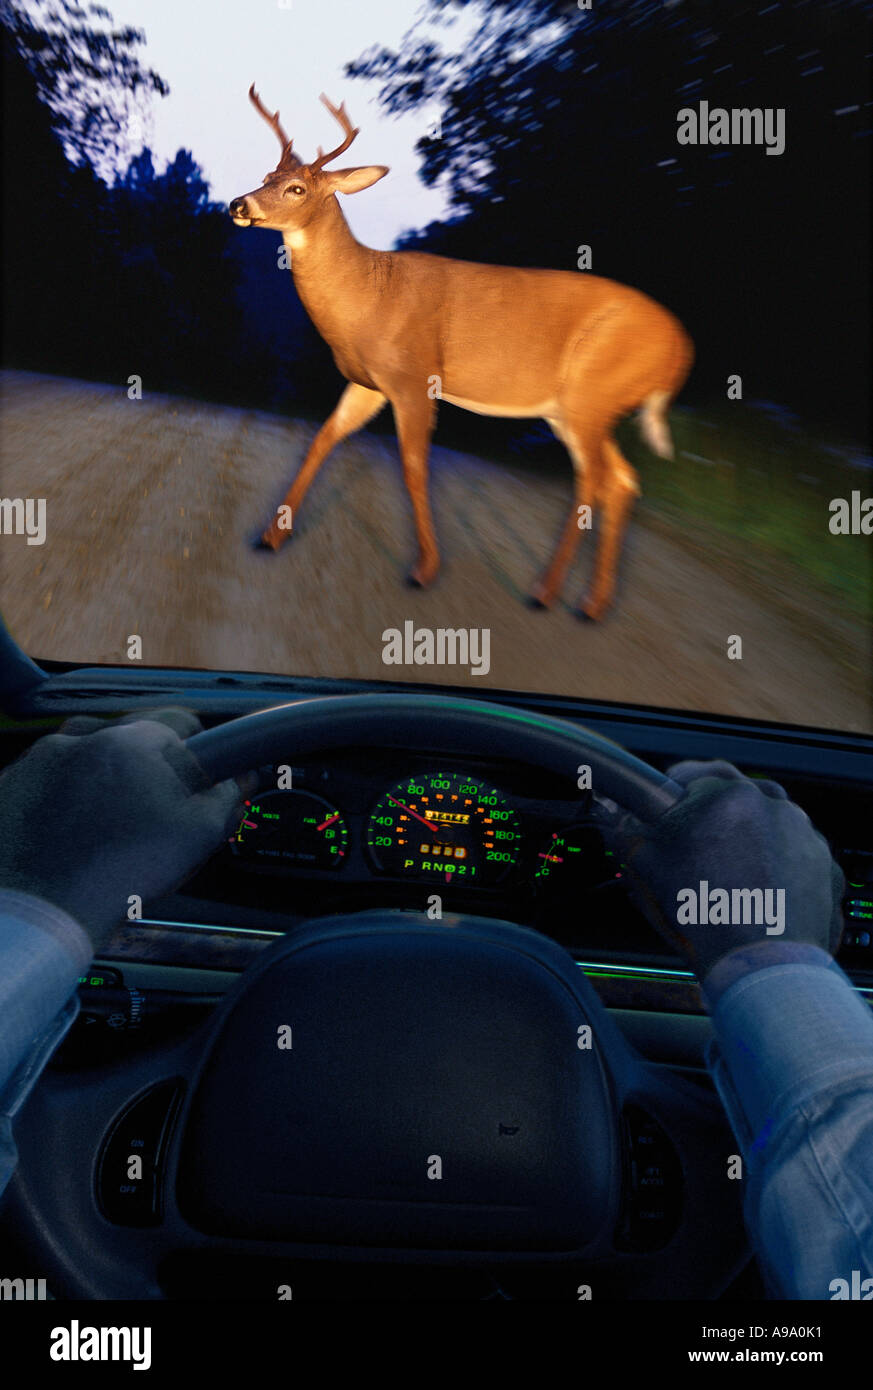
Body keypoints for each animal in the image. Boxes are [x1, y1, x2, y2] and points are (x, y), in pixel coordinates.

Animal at [229, 88, 693, 620]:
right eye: (267, 176)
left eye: (296, 189)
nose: (238, 203)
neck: (368, 296)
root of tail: (681, 350)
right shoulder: (369, 383)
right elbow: (323, 439)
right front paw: (270, 536)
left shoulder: (415, 378)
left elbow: (414, 467)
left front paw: (425, 568)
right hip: (576, 408)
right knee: (622, 479)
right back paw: (592, 604)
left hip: (592, 391)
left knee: (593, 480)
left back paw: (545, 592)